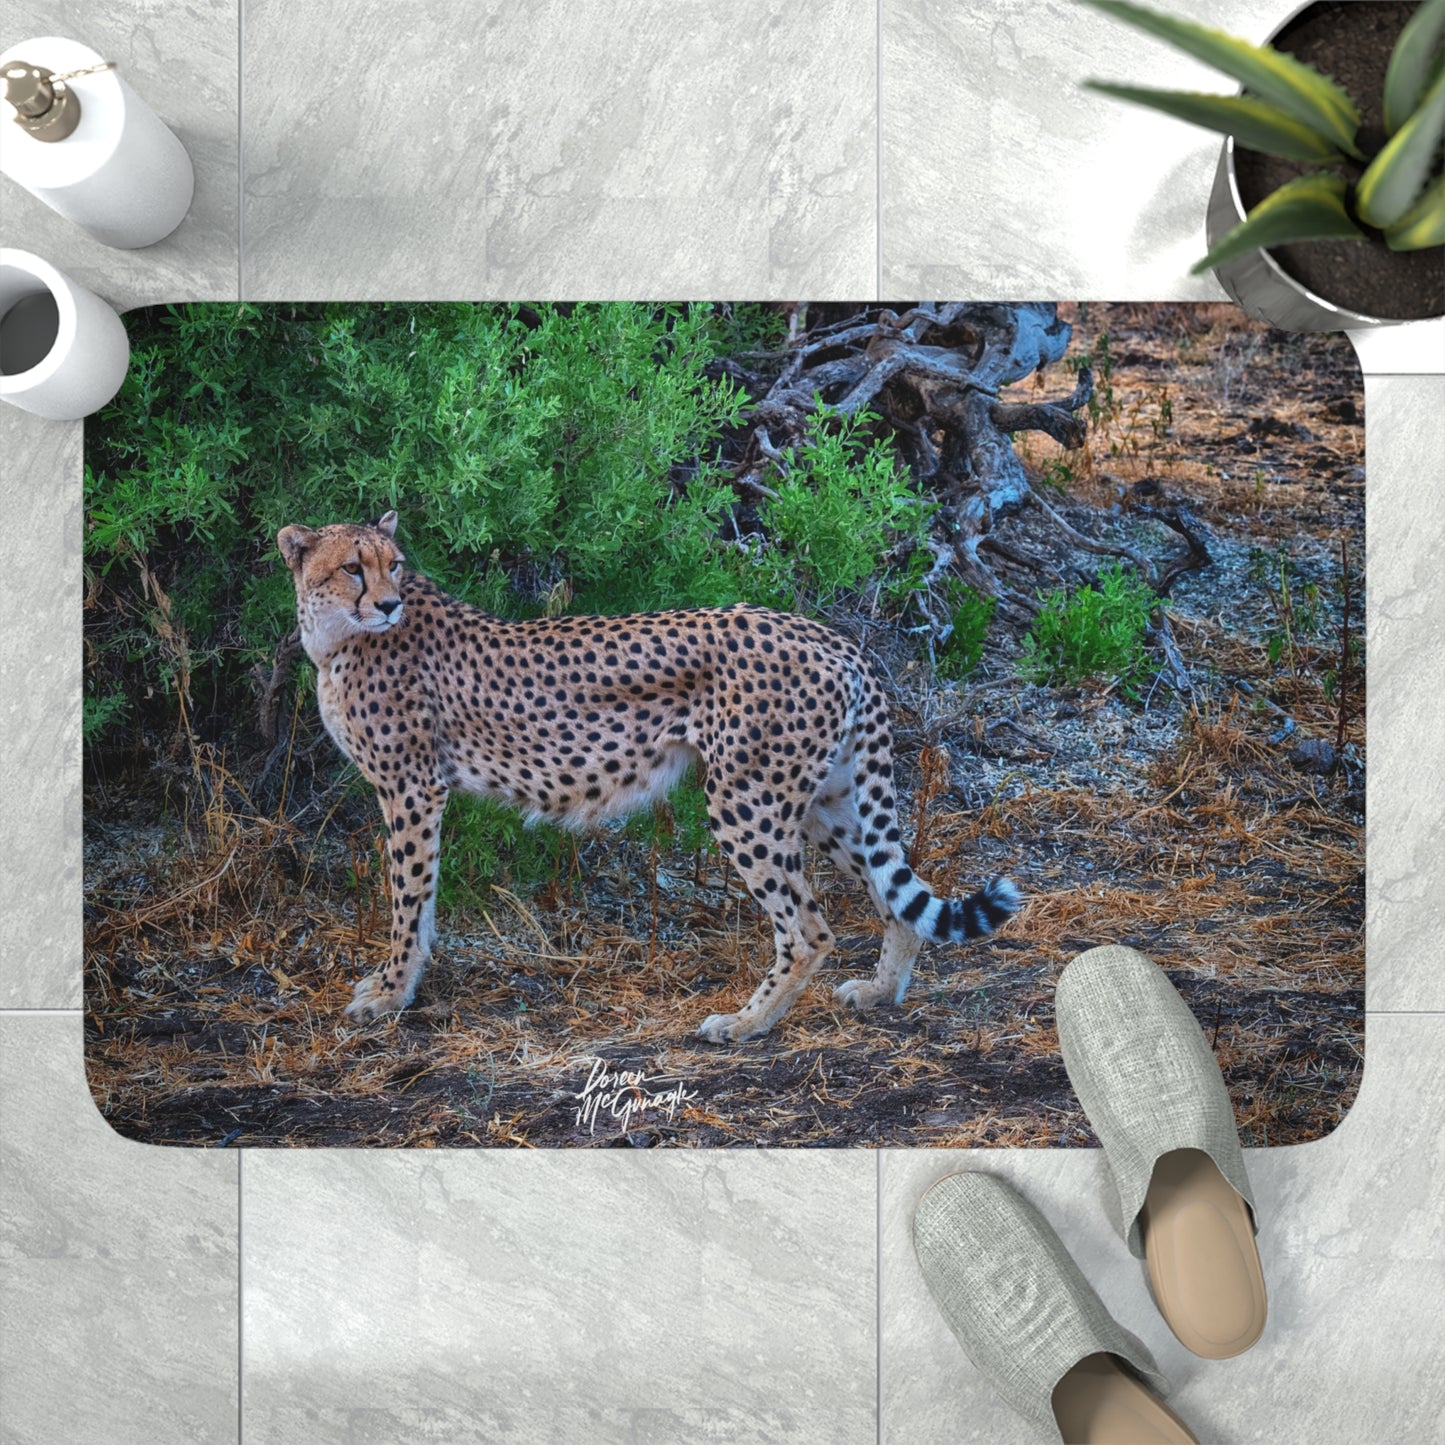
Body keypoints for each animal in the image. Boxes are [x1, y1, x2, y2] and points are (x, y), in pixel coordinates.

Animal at [277, 511, 1022, 1043]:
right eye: (353, 567)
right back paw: (879, 991)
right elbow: (422, 898)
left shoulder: (411, 787)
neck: (337, 636)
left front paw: (390, 992)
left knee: (809, 928)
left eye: (393, 565)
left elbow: (408, 897)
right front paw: (400, 985)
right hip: (825, 799)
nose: (389, 603)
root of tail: (827, 635)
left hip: (745, 798)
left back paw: (746, 1023)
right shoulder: (417, 790)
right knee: (893, 894)